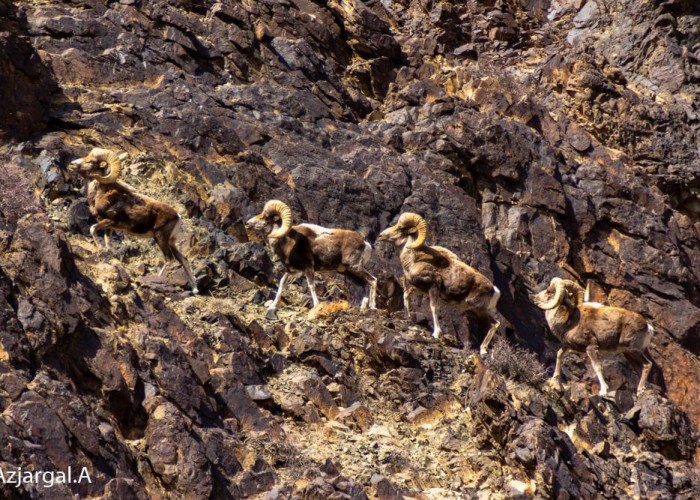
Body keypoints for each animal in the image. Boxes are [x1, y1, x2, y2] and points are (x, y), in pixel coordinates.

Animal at [70, 146, 200, 292]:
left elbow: (93, 229)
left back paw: (156, 279)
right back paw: (195, 289)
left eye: (91, 161)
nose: (72, 164)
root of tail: (177, 216)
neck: (101, 194)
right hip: (171, 241)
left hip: (160, 238)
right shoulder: (109, 228)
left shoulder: (110, 222)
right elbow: (108, 244)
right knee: (183, 259)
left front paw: (100, 249)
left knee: (169, 259)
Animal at [246, 198, 378, 316]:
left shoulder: (308, 267)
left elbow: (311, 285)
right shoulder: (290, 271)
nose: (247, 223)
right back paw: (362, 309)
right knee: (365, 285)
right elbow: (281, 284)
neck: (288, 242)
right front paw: (272, 307)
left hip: (354, 267)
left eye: (265, 217)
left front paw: (316, 306)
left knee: (373, 280)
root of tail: (364, 243)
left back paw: (372, 306)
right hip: (349, 272)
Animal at [380, 212, 500, 356]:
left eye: (400, 229)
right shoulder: (415, 287)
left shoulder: (434, 287)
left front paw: (436, 333)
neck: (414, 260)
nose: (380, 235)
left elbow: (433, 307)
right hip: (477, 310)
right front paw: (408, 317)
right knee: (496, 323)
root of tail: (493, 289)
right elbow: (406, 297)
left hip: (478, 309)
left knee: (492, 324)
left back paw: (483, 350)